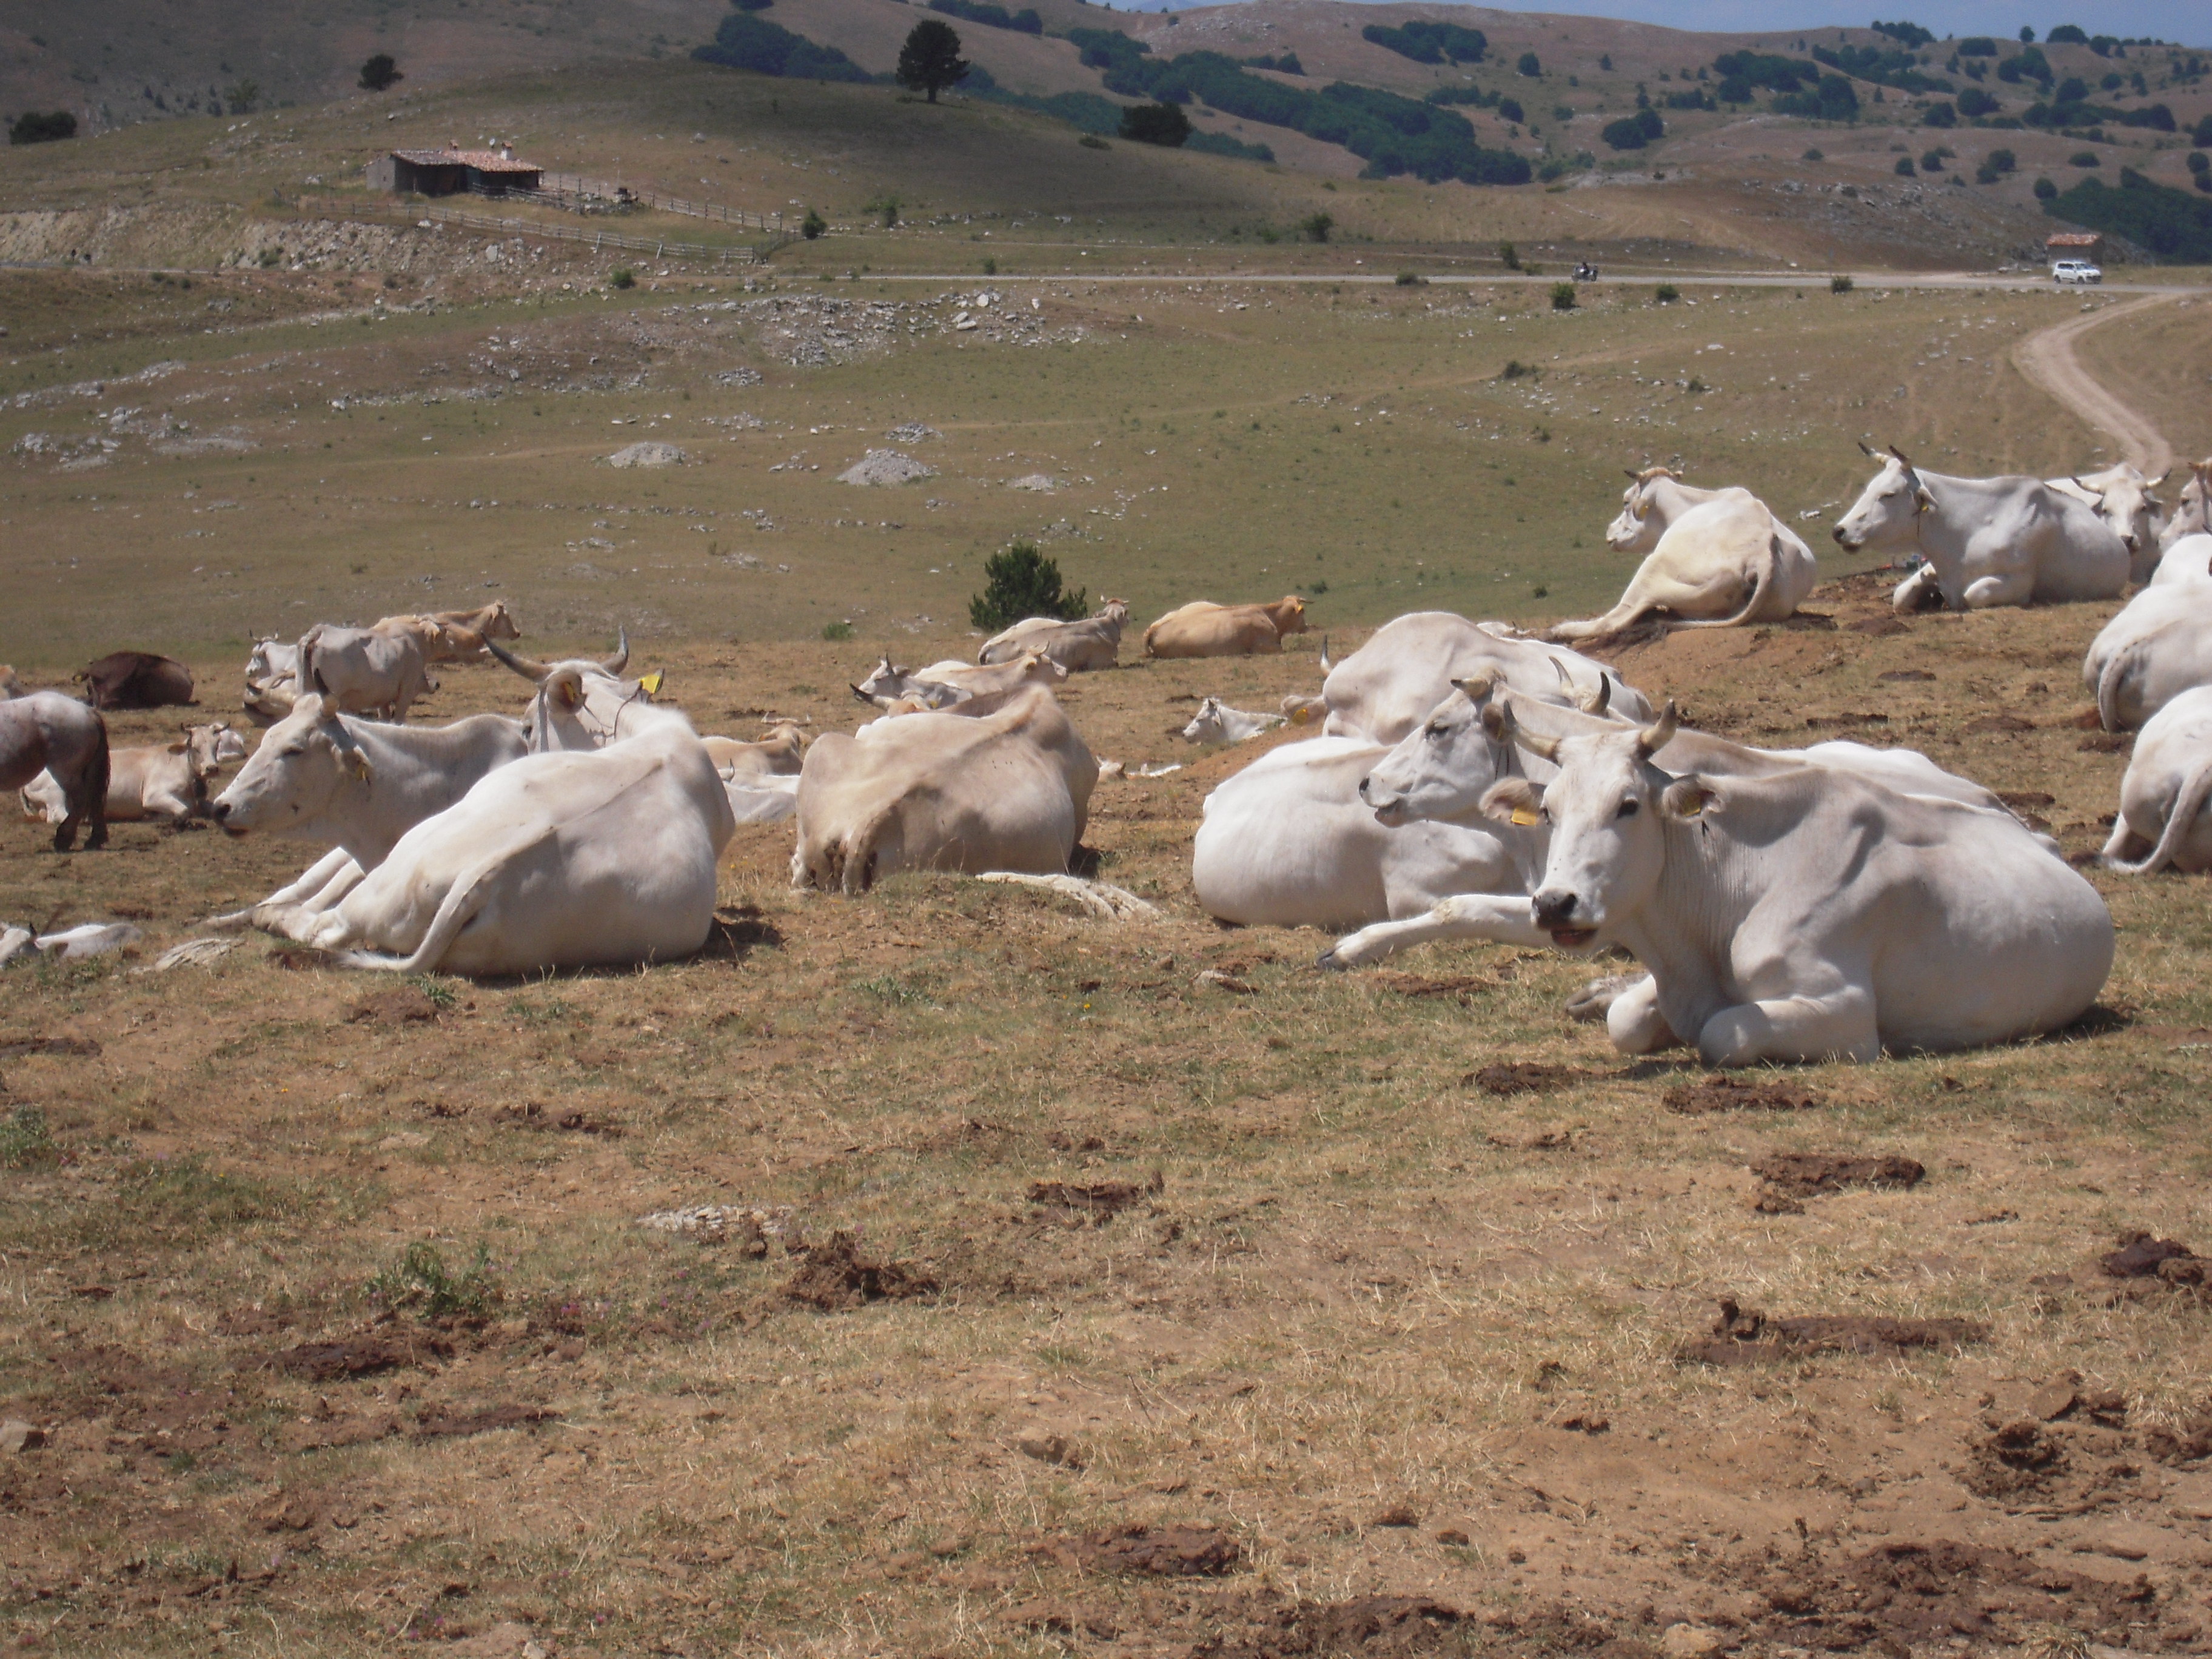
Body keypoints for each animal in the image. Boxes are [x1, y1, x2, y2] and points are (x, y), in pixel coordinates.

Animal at [0, 693, 108, 851]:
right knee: (95, 800)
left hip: (67, 774)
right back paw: (94, 840)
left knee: (81, 802)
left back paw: (63, 839)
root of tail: (88, 711)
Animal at [22, 722, 245, 826]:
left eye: (217, 745)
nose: (212, 769)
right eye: (196, 747)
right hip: (56, 793)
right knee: (58, 815)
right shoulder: (154, 796)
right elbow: (183, 811)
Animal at [1325, 694, 2110, 1065]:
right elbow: (1628, 1015)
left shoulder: (1844, 1013)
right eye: (1548, 807)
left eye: (1628, 804)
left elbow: (1725, 1030)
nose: (1364, 783)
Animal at [1553, 485, 1817, 641]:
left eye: (1626, 503)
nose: (1609, 531)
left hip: (1653, 570)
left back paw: (1562, 630)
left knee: (1614, 620)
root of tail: (1763, 552)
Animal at [1833, 445, 2129, 612]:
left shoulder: (2018, 581)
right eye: (1870, 487)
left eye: (1889, 494)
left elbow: (1972, 595)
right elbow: (1900, 596)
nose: (1840, 531)